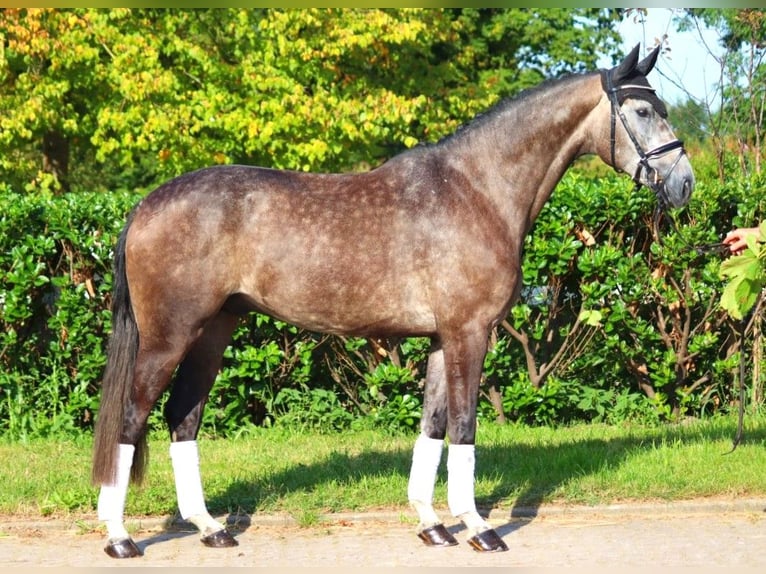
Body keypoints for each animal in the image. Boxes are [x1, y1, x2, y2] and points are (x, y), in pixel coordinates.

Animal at [90, 44, 696, 560]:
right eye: (643, 110)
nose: (685, 183)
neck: (477, 190)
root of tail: (145, 205)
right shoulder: (469, 333)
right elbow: (464, 427)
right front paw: (478, 527)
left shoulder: (441, 339)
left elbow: (432, 426)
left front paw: (432, 525)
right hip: (169, 337)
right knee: (132, 416)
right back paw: (120, 537)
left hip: (215, 330)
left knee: (182, 417)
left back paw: (210, 528)